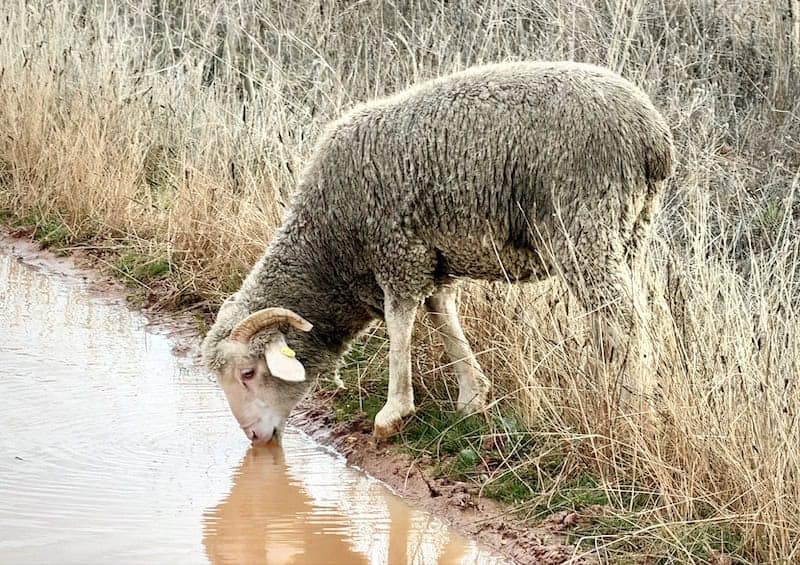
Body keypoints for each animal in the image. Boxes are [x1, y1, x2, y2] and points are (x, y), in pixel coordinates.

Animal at [201, 61, 674, 443]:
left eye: (248, 373)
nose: (254, 436)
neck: (331, 246)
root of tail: (653, 136)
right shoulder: (432, 259)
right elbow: (443, 316)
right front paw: (473, 395)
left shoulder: (397, 250)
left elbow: (400, 325)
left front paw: (393, 413)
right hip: (630, 231)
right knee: (626, 320)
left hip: (584, 224)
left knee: (625, 323)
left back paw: (630, 411)